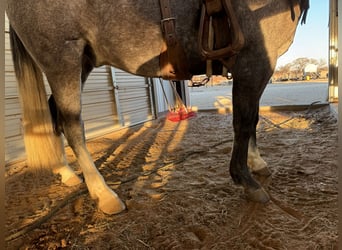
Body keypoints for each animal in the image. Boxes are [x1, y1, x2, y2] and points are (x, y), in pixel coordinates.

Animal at [6, 0, 308, 215]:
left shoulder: (254, 68)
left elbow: (252, 118)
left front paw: (257, 162)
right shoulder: (254, 63)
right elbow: (243, 123)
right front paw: (246, 179)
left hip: (82, 63)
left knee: (53, 115)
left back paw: (66, 172)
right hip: (62, 61)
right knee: (71, 124)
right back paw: (104, 194)